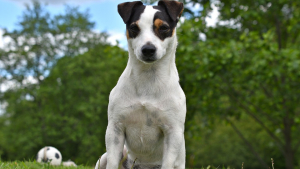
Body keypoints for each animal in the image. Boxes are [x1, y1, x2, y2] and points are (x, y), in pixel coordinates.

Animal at [95, 0, 185, 168]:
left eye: (164, 28)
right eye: (134, 28)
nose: (148, 49)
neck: (148, 80)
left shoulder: (173, 132)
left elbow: (168, 161)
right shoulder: (114, 129)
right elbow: (112, 162)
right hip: (107, 156)